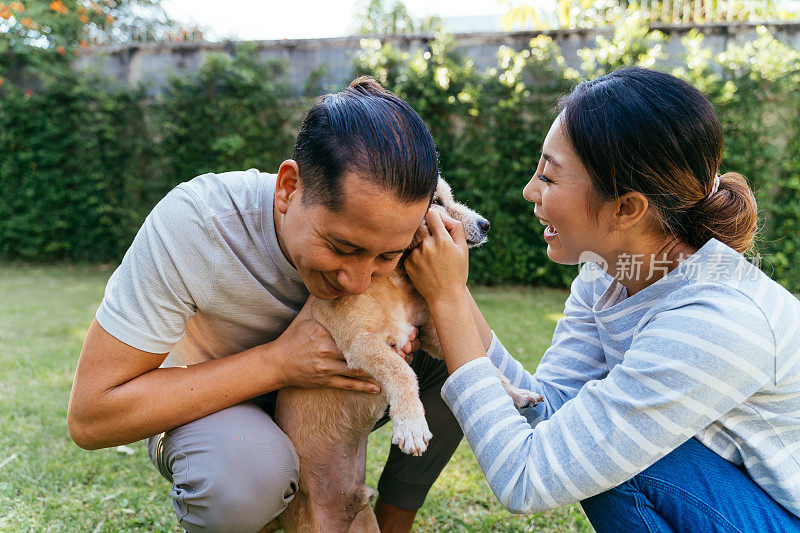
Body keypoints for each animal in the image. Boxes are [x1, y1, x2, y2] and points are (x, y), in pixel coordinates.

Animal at [266, 178, 540, 532]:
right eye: (436, 201)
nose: (486, 224)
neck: (391, 277)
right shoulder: (361, 345)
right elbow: (401, 371)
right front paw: (411, 424)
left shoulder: (431, 336)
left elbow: (488, 365)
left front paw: (517, 393)